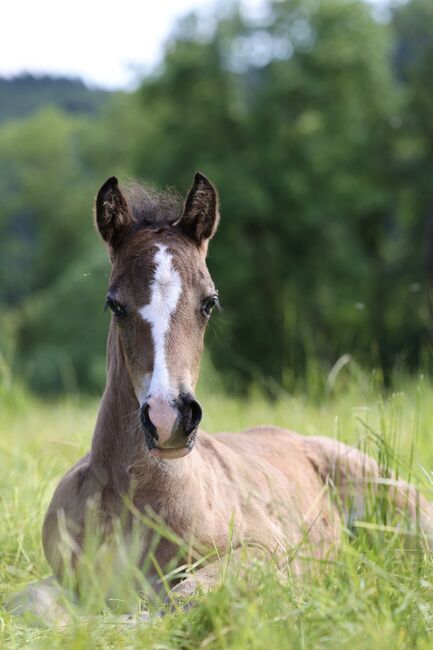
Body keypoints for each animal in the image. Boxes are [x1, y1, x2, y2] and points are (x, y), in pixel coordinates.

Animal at [9, 172, 432, 616]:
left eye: (209, 302)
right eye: (114, 305)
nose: (168, 419)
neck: (136, 495)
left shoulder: (264, 550)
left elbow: (181, 599)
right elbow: (29, 602)